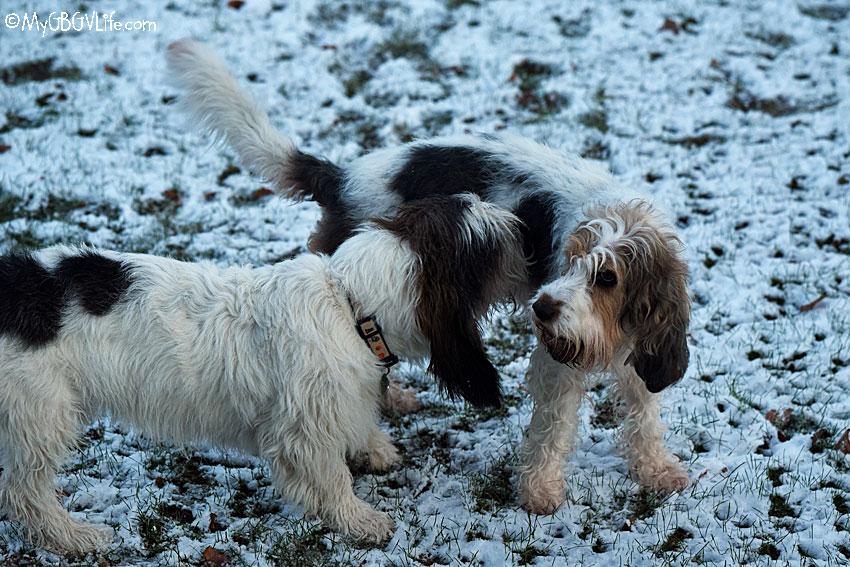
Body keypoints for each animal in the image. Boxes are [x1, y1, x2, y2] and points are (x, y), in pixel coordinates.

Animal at [0, 195, 528, 556]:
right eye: (489, 245)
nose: (523, 225)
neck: (350, 305)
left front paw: (374, 447)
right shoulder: (303, 431)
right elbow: (331, 478)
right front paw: (360, 521)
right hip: (41, 415)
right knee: (24, 492)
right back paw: (71, 536)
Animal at [169, 41, 692, 516]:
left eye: (607, 277)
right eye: (568, 260)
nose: (541, 308)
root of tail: (342, 178)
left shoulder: (642, 345)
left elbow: (644, 411)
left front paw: (656, 470)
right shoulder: (556, 360)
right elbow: (551, 428)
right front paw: (540, 491)